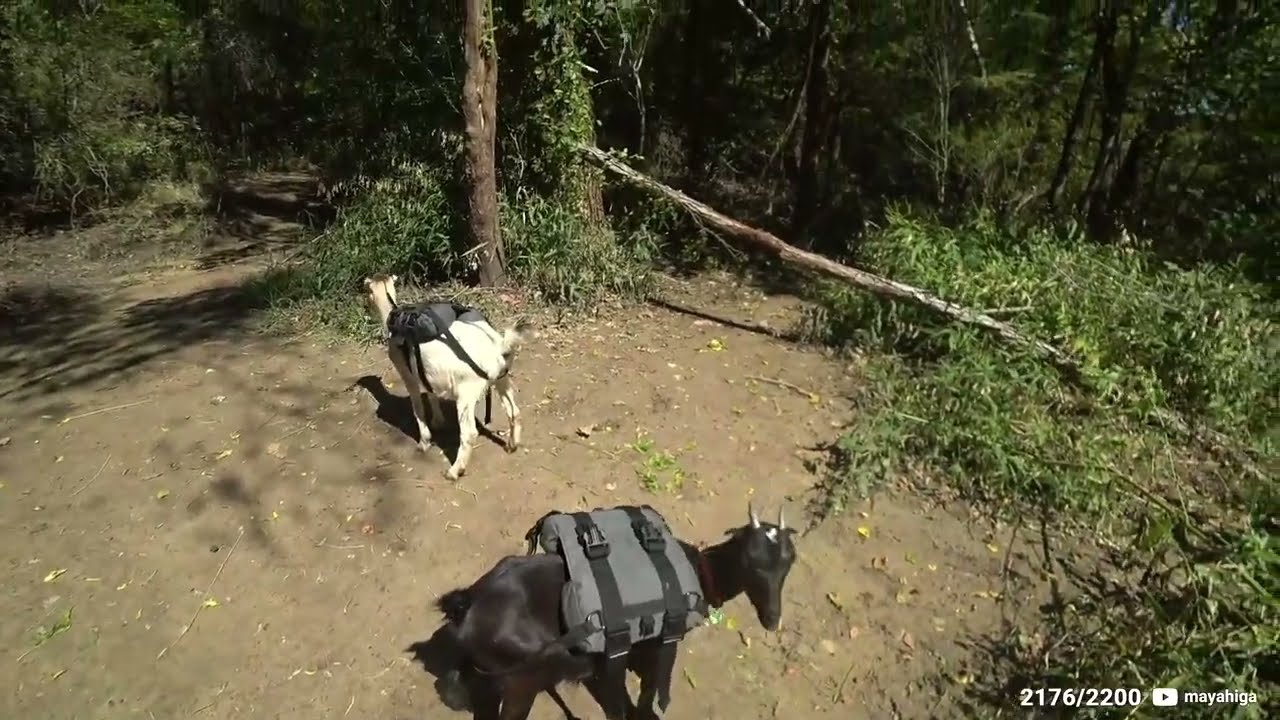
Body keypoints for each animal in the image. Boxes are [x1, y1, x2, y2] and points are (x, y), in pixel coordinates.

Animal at [364, 274, 532, 479]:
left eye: (368, 291)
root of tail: (497, 347)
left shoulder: (407, 373)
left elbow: (417, 408)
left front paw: (424, 442)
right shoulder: (428, 372)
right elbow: (431, 393)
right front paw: (438, 422)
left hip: (467, 392)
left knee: (469, 433)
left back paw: (454, 471)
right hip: (502, 378)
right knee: (513, 410)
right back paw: (511, 445)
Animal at [434, 503, 798, 720]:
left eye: (789, 561)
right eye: (752, 560)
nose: (772, 619)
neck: (700, 572)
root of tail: (468, 604)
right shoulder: (660, 645)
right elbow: (648, 691)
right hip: (521, 682)